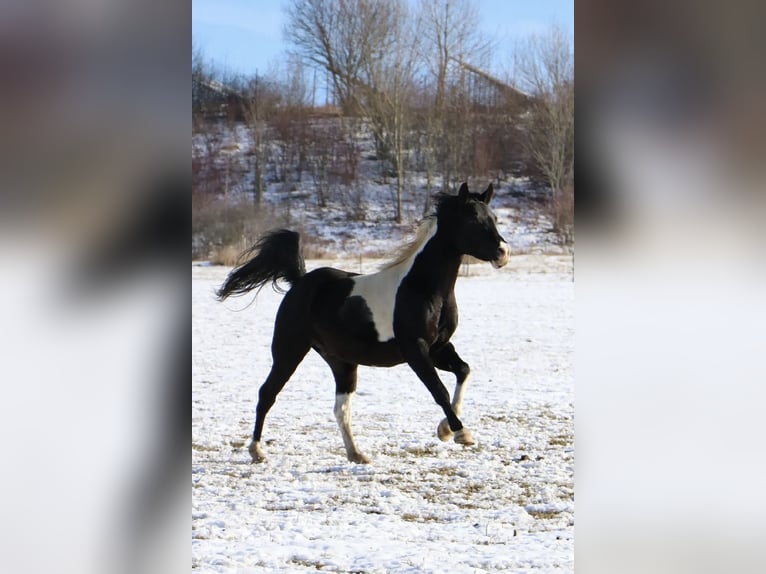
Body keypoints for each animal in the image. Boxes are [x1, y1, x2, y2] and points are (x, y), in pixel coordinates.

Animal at [216, 182, 510, 463]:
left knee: (341, 408)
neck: (422, 288)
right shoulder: (416, 350)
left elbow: (463, 370)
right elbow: (439, 390)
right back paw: (256, 451)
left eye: (494, 218)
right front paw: (461, 433)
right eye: (472, 219)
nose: (503, 252)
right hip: (289, 350)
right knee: (267, 393)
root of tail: (299, 281)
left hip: (342, 362)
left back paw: (356, 454)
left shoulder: (439, 347)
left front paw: (446, 430)